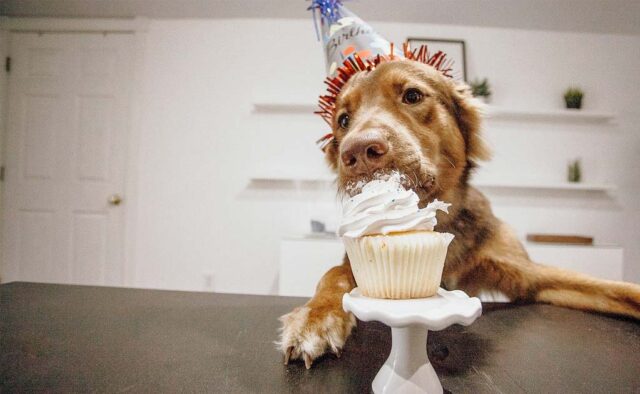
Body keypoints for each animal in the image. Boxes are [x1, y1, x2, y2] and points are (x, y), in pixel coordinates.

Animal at [280, 59, 640, 370]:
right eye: (343, 120)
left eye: (412, 95)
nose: (356, 152)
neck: (438, 224)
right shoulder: (356, 261)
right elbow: (333, 275)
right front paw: (315, 317)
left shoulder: (528, 275)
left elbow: (611, 287)